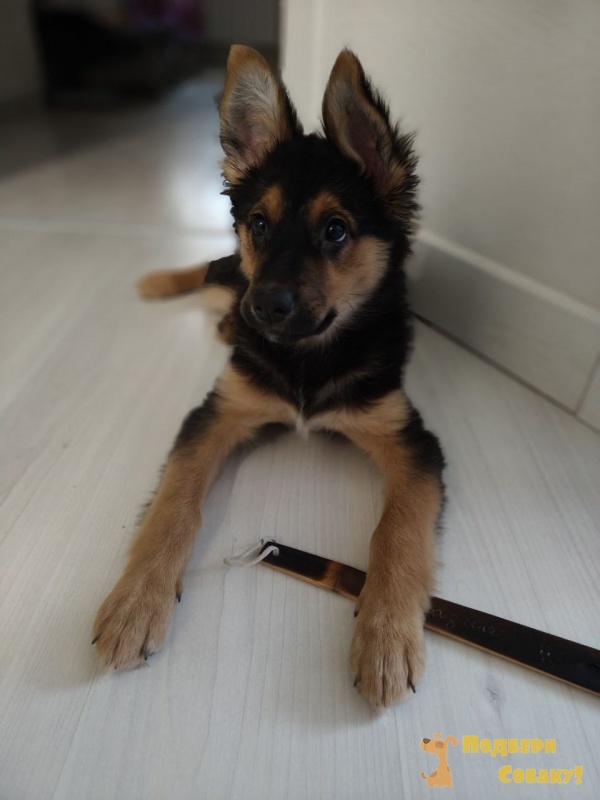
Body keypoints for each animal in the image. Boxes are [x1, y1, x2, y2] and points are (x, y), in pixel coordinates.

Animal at [92, 45, 445, 708]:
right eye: (258, 222)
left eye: (336, 230)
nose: (262, 308)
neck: (305, 354)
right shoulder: (216, 413)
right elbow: (174, 507)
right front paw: (135, 603)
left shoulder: (411, 440)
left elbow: (398, 532)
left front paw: (386, 639)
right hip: (231, 274)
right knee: (212, 268)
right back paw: (170, 286)